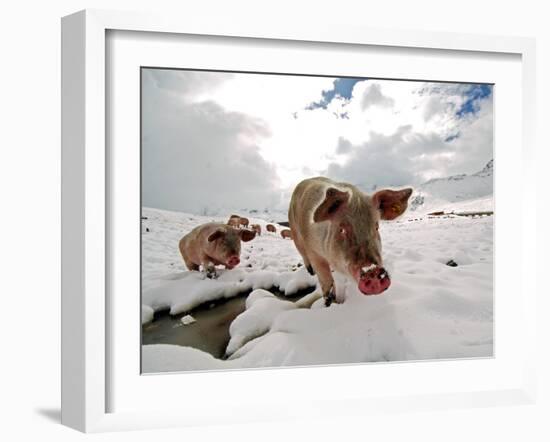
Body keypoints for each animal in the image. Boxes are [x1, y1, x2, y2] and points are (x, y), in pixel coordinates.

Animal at [292, 175, 412, 304]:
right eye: (342, 229)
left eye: (376, 226)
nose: (372, 271)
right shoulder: (313, 251)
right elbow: (326, 282)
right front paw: (330, 302)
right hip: (295, 233)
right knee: (302, 253)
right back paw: (311, 272)